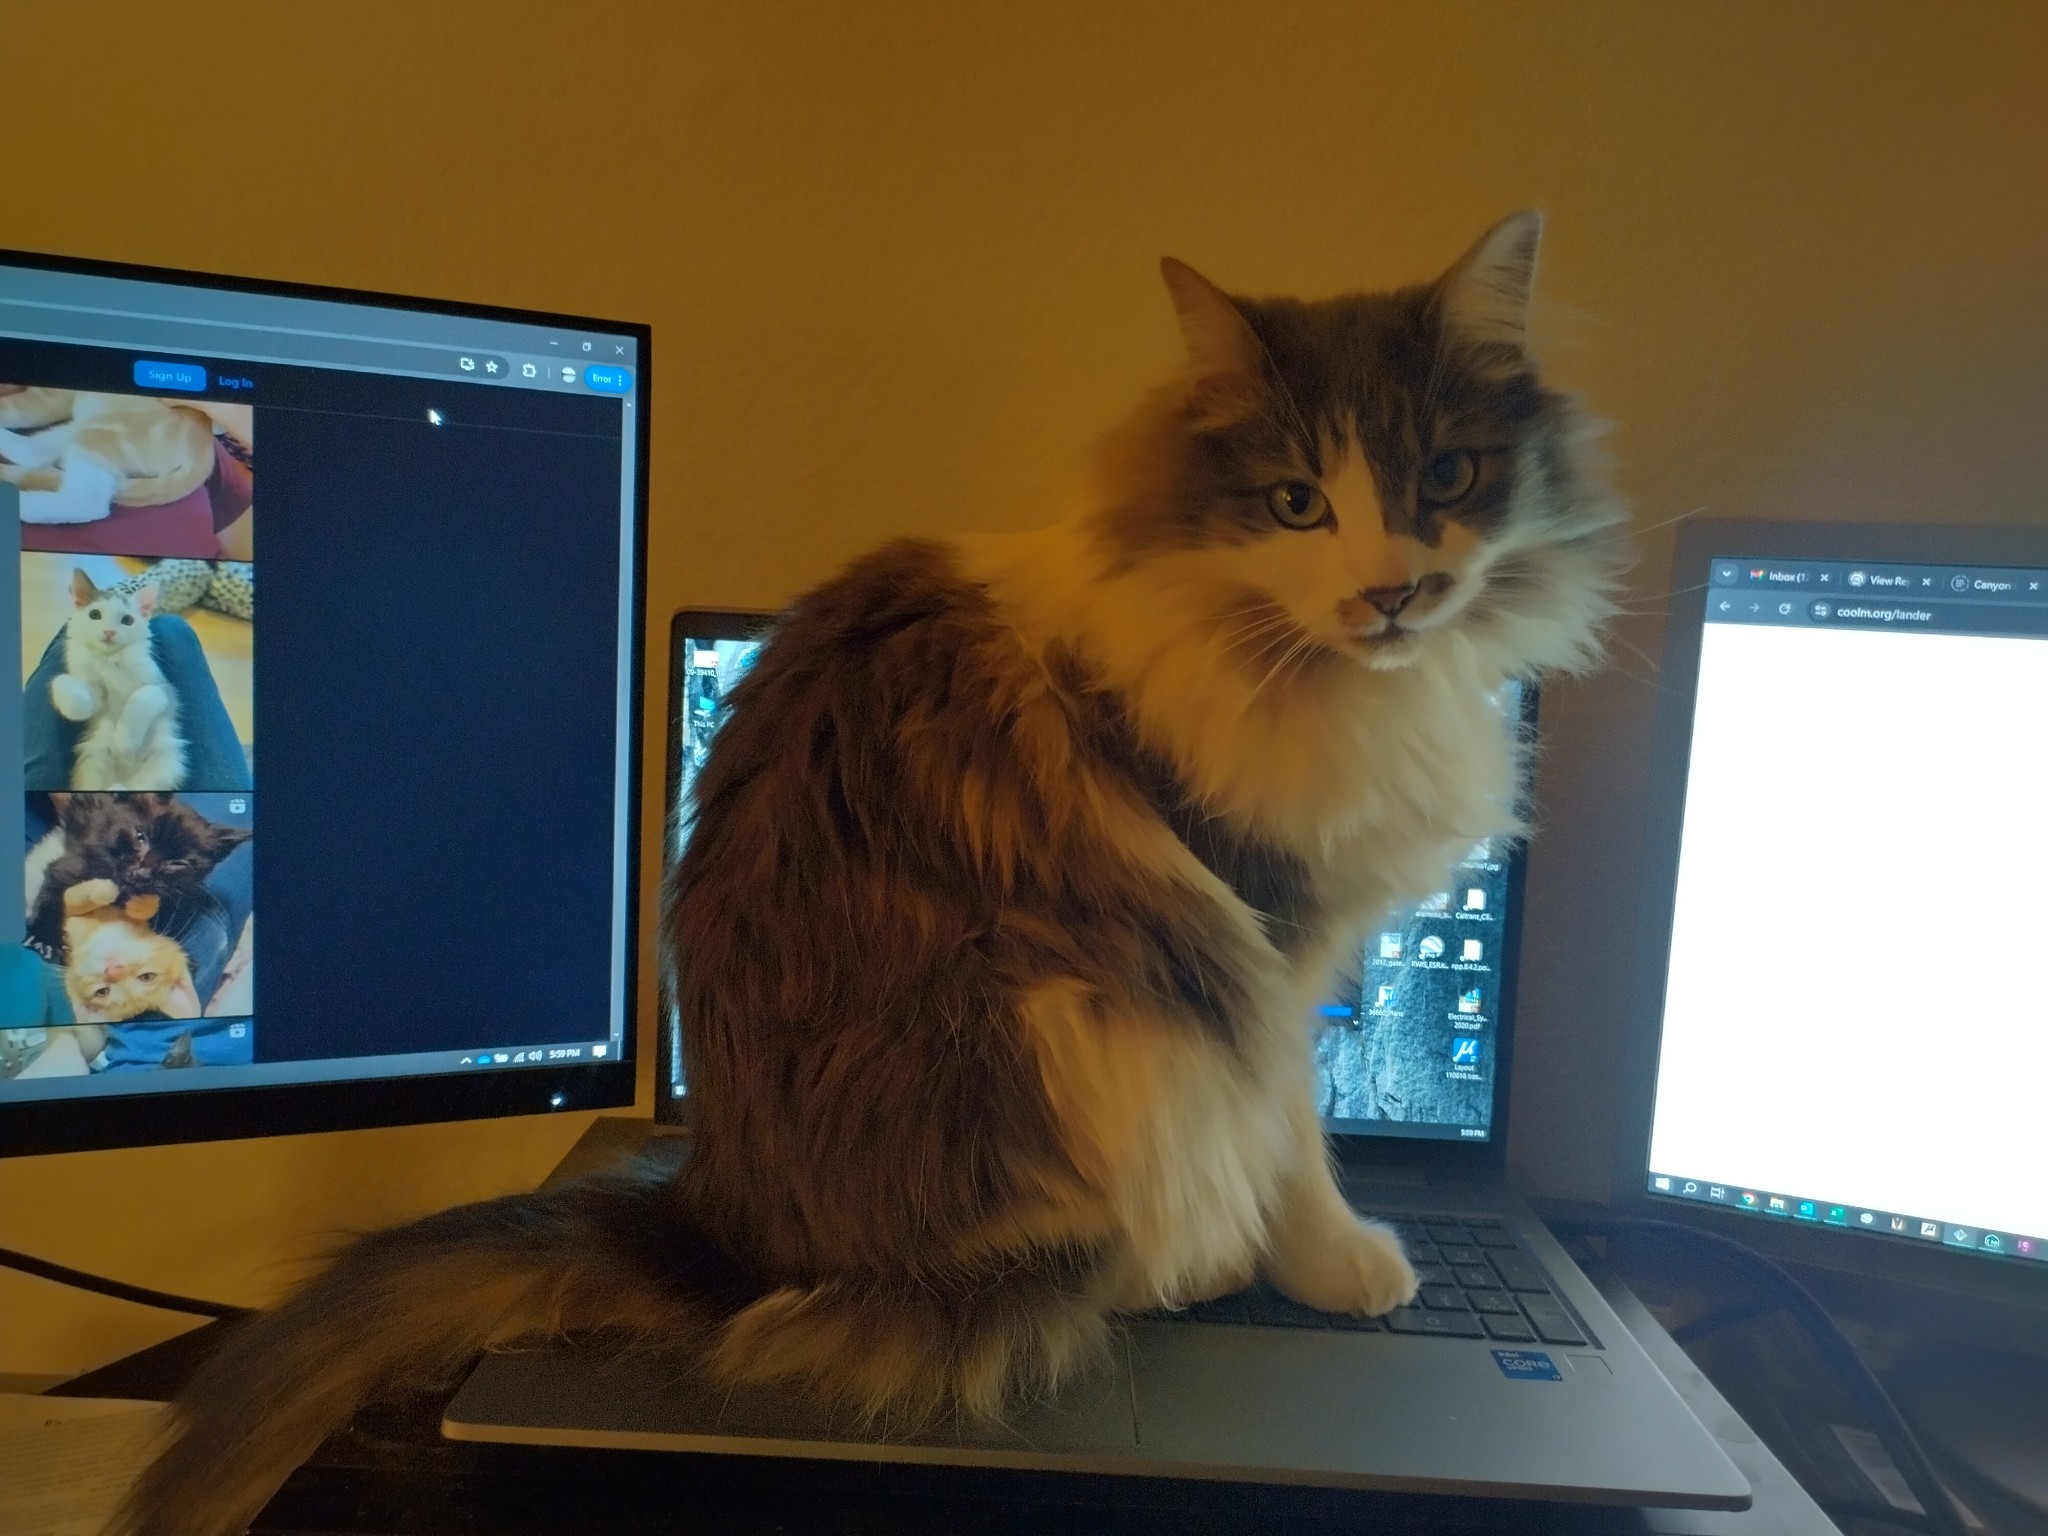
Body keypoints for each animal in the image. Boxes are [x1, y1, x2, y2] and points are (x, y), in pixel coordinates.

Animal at [0, 387, 216, 525]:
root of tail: (205, 454)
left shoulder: (49, 398)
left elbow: (8, 408)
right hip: (86, 423)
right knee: (36, 454)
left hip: (100, 431)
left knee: (89, 503)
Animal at [24, 792, 252, 961]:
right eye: (140, 836)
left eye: (178, 863)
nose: (141, 873)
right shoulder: (73, 862)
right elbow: (52, 891)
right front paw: (44, 937)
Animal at [52, 571, 190, 791]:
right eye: (95, 614)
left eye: (127, 620)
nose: (109, 632)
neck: (110, 660)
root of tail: (125, 778)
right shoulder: (95, 693)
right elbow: (63, 683)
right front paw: (78, 709)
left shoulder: (162, 689)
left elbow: (140, 700)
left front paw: (125, 743)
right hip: (93, 763)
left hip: (167, 764)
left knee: (141, 789)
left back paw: (120, 785)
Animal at [119, 212, 1629, 1536]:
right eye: (1297, 503)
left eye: (1447, 480)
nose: (1390, 592)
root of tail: (722, 1235)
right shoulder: (1262, 931)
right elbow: (1292, 1128)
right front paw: (1335, 1260)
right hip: (1082, 1017)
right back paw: (1192, 1266)